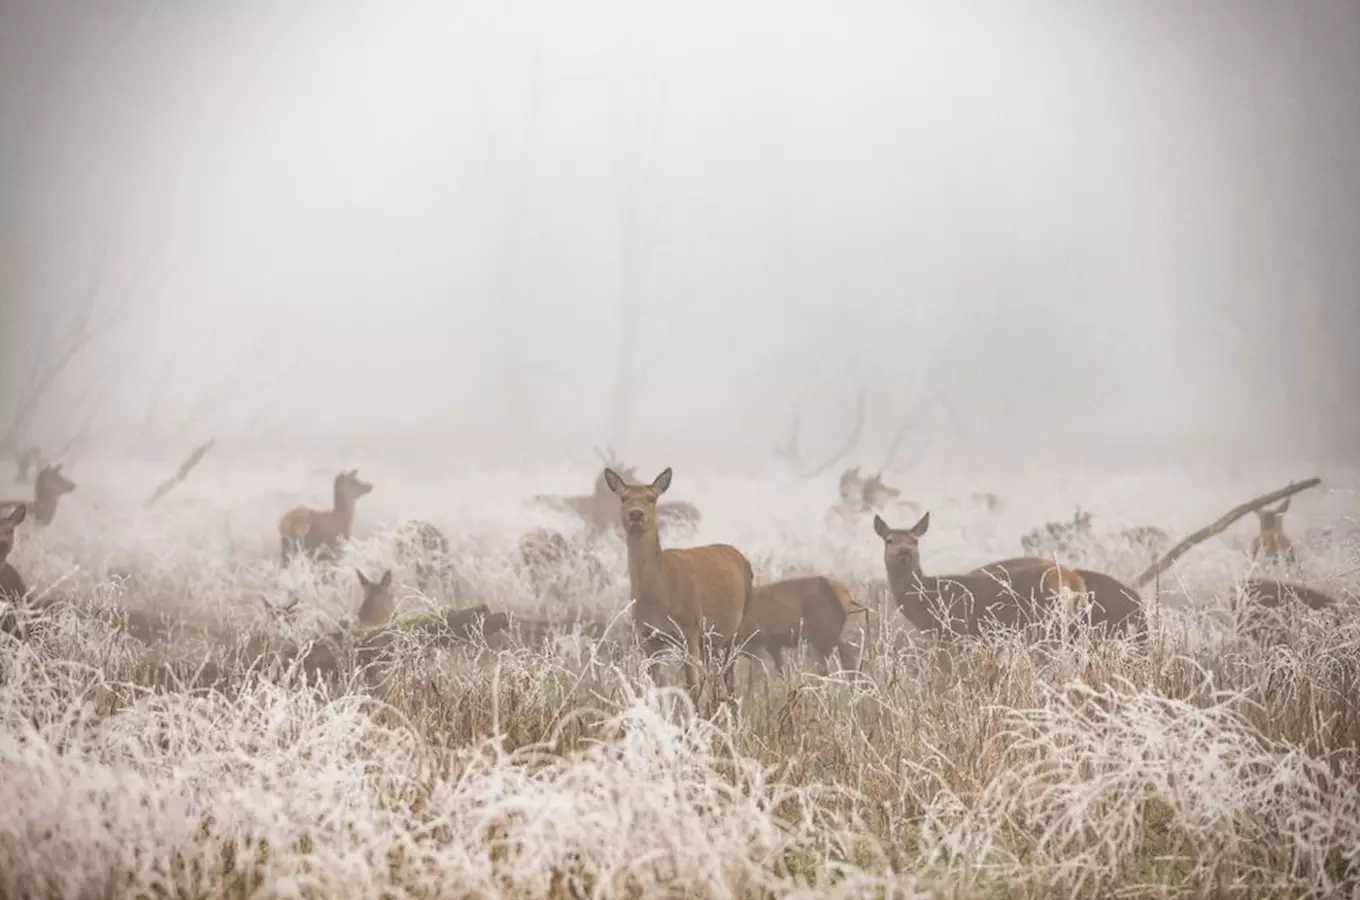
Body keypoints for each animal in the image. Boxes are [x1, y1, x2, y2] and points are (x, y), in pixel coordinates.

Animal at [606, 467, 756, 706]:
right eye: (624, 498)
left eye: (652, 498)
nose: (636, 514)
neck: (660, 599)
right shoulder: (647, 635)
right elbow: (655, 685)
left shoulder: (690, 627)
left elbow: (692, 684)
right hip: (712, 639)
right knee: (714, 677)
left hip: (737, 627)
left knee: (728, 679)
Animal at [875, 513, 1088, 641]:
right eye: (889, 540)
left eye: (914, 540)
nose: (904, 551)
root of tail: (1074, 581)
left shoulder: (955, 633)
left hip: (1047, 621)